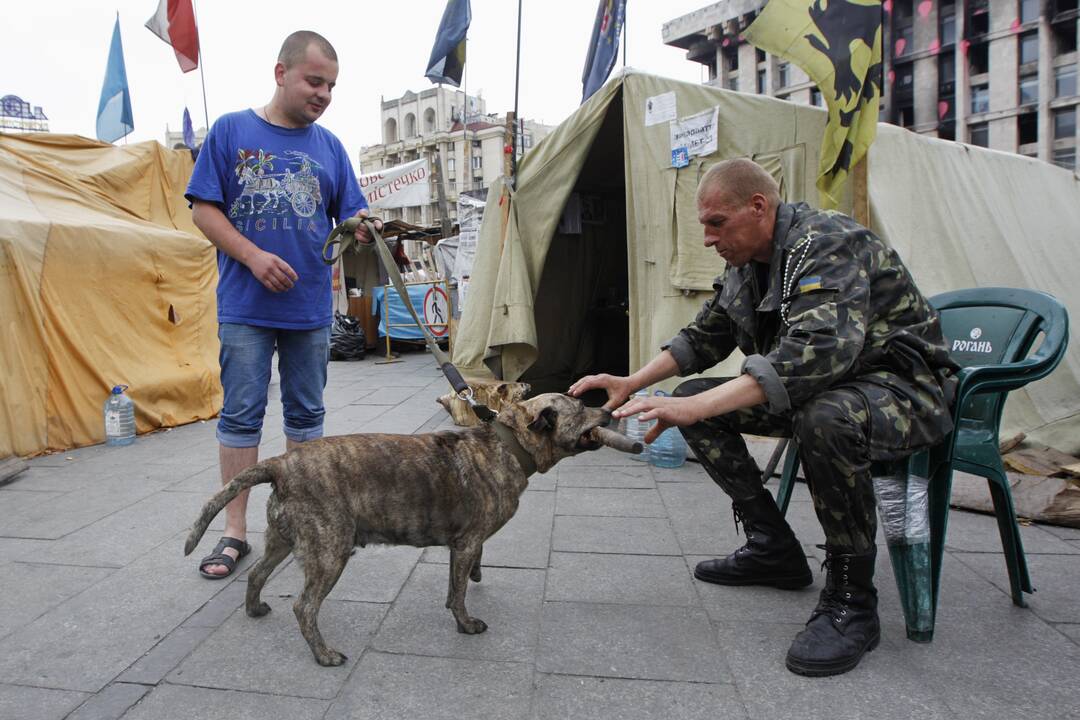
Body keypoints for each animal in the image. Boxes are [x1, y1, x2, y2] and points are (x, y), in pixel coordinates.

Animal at [182, 390, 613, 669]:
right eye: (581, 406)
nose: (609, 411)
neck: (508, 444)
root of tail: (282, 463)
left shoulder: (465, 545)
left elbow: (463, 578)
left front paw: (470, 584)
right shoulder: (466, 542)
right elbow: (458, 593)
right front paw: (465, 624)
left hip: (282, 540)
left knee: (256, 574)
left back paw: (254, 608)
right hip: (329, 552)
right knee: (304, 607)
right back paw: (324, 655)